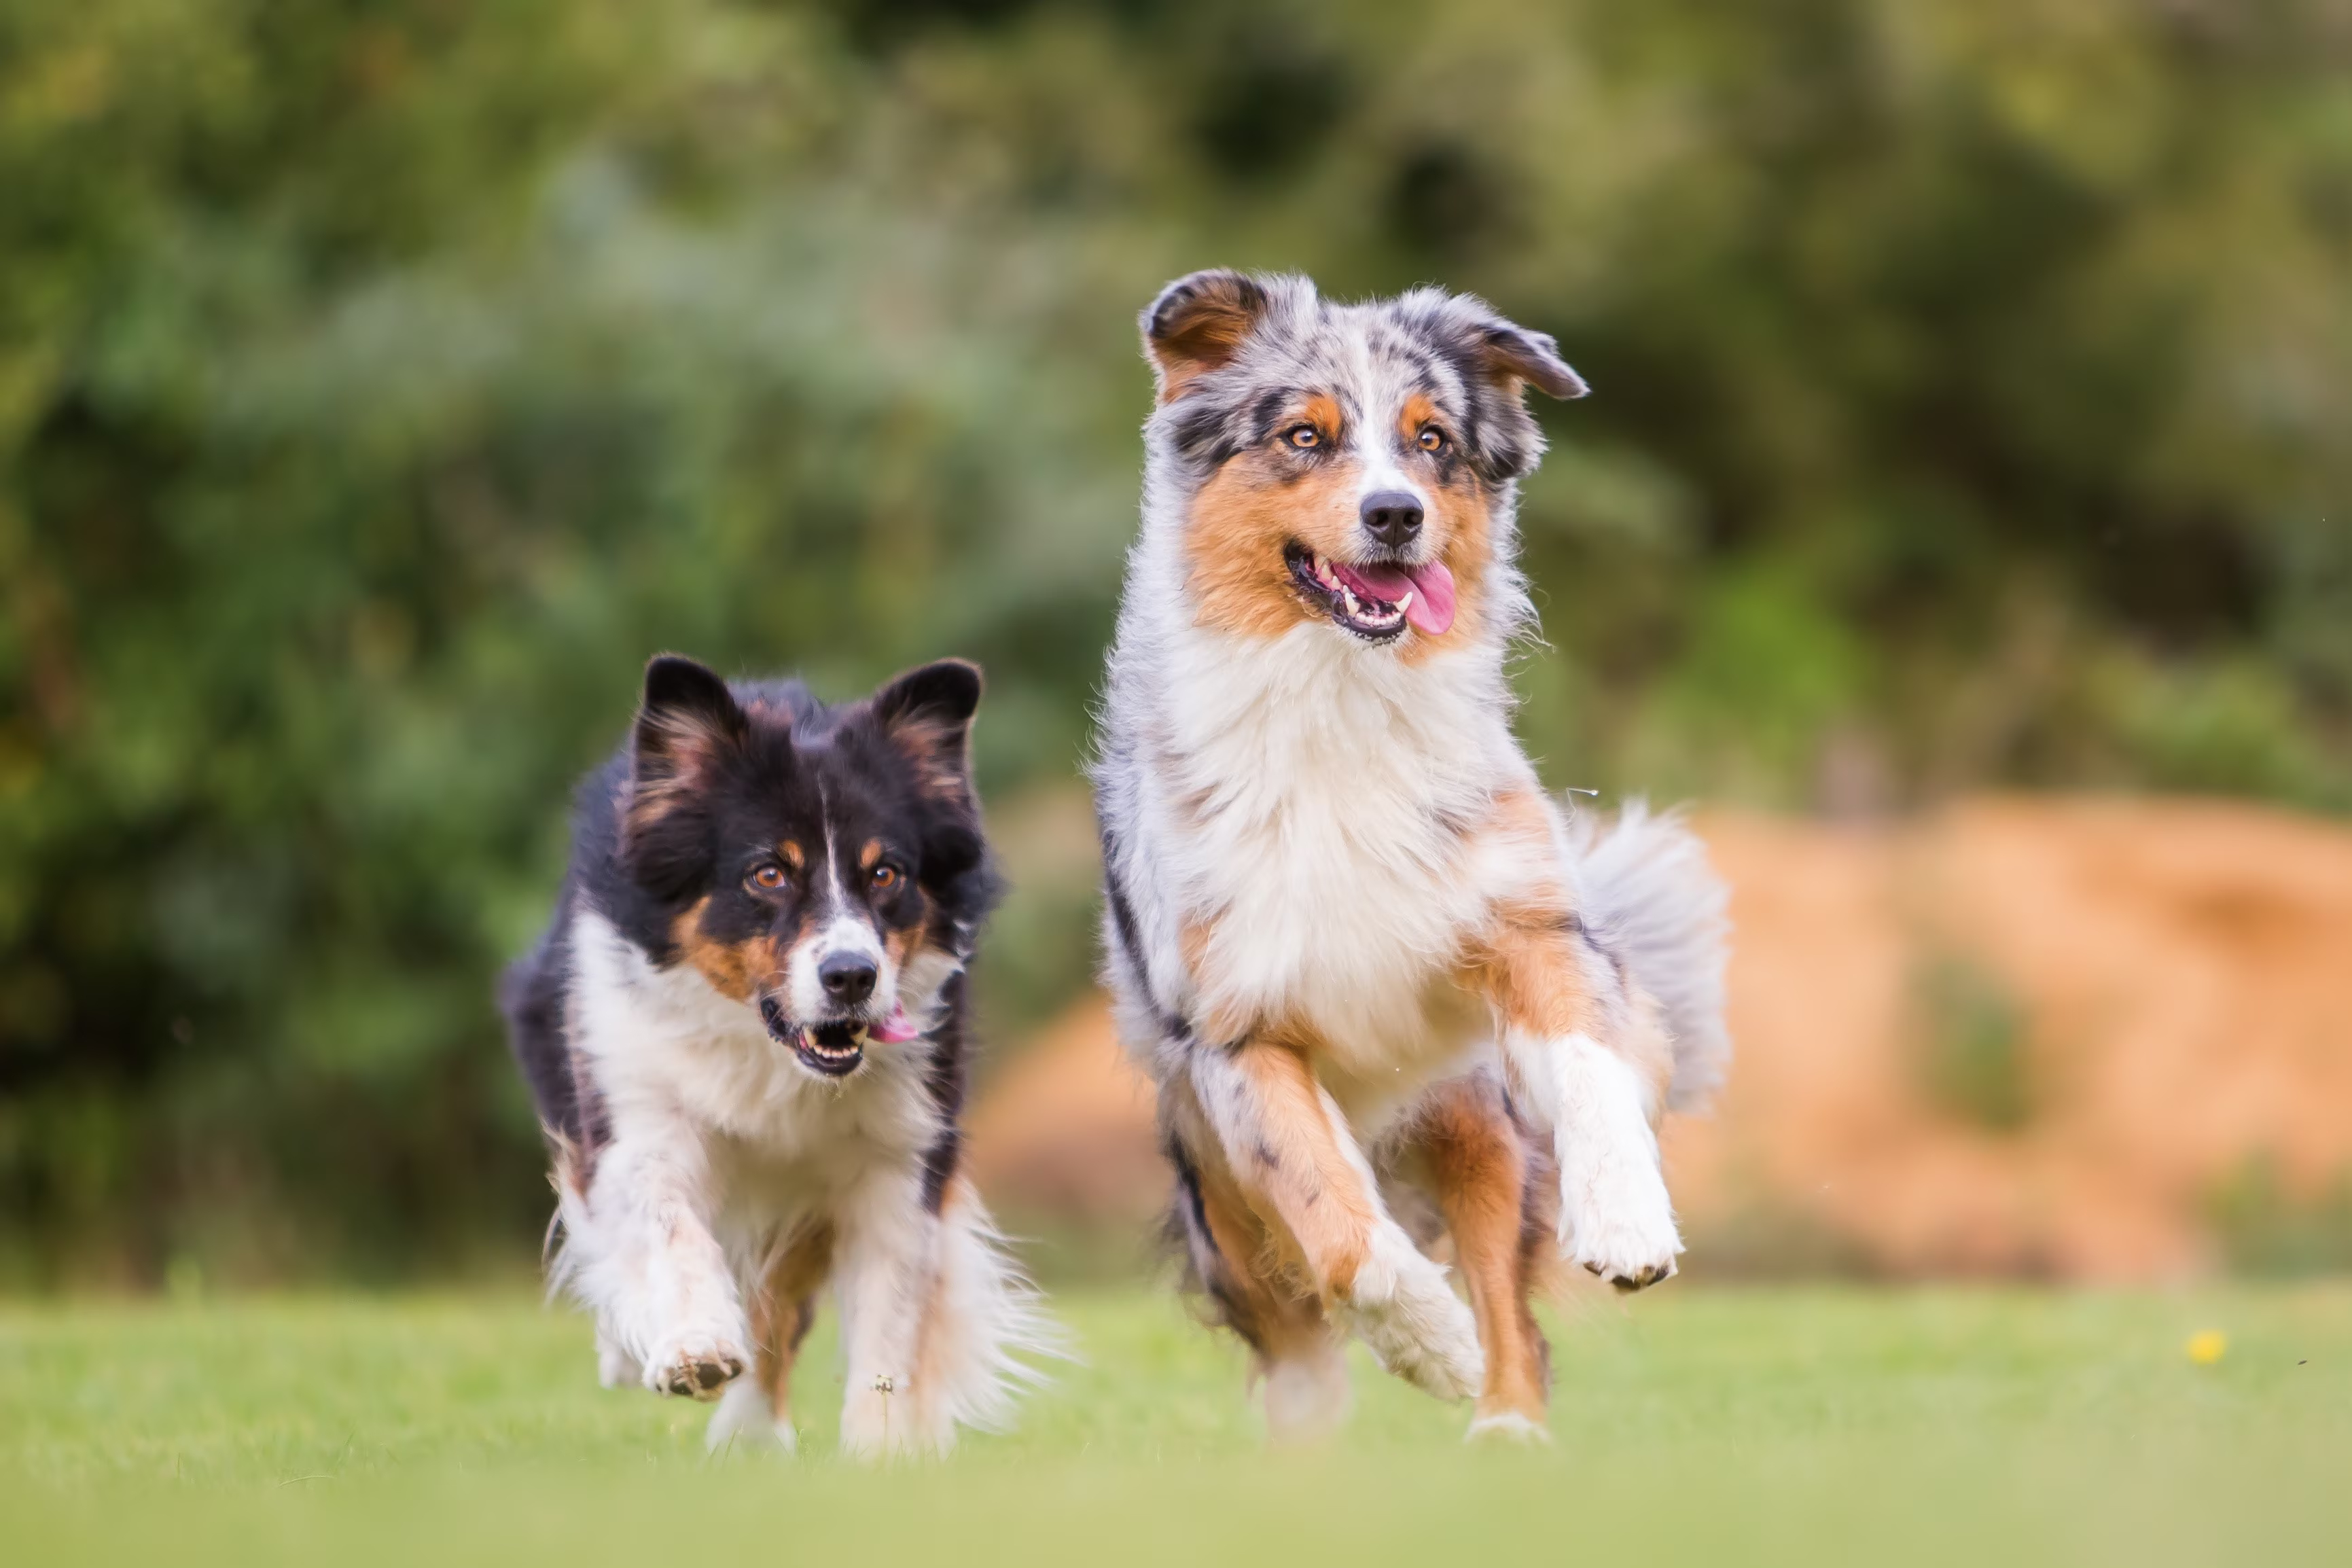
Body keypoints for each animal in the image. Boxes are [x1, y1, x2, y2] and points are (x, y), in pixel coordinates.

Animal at [505, 653, 1058, 1457]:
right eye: (767, 873)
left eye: (886, 873)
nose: (853, 976)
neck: (771, 1058)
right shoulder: (637, 1101)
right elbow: (666, 1227)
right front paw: (694, 1349)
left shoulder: (899, 1152)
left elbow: (887, 1317)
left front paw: (880, 1455)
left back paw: (751, 1436)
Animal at [1086, 272, 1731, 1448]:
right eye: (1304, 436)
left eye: (1432, 442)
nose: (1395, 514)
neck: (1343, 692)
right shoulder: (1236, 1038)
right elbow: (1340, 1227)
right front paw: (1429, 1341)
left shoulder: (1527, 923)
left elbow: (1594, 1065)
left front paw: (1624, 1217)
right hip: (1219, 1198)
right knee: (1297, 1327)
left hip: (1475, 1118)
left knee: (1508, 1303)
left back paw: (1506, 1428)